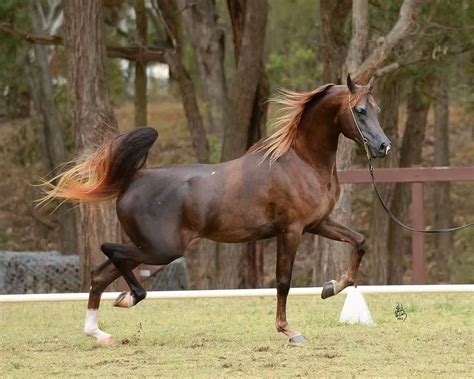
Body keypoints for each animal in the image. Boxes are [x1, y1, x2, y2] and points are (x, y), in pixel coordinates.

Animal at [41, 74, 388, 344]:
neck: (300, 162)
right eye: (359, 110)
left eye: (377, 108)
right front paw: (289, 331)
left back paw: (99, 331)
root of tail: (131, 180)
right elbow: (283, 281)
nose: (383, 146)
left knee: (99, 274)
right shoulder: (291, 230)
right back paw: (129, 299)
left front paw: (331, 287)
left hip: (149, 248)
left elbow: (360, 242)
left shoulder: (318, 223)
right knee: (109, 250)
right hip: (161, 250)